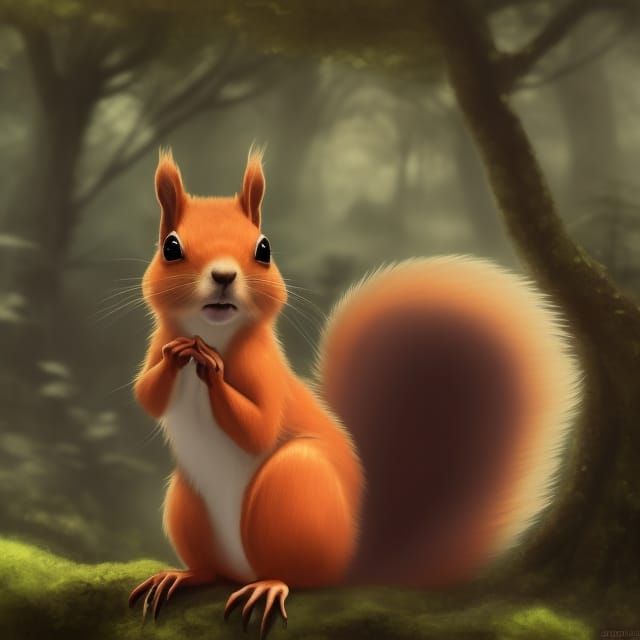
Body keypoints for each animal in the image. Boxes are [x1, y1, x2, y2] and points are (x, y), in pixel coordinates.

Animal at [129, 148, 582, 636]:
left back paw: (270, 584)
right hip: (186, 503)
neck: (209, 333)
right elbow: (146, 395)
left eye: (264, 249)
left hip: (295, 482)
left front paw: (212, 368)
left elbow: (259, 426)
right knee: (212, 569)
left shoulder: (265, 372)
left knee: (299, 574)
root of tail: (351, 565)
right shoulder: (154, 349)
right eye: (170, 247)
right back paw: (183, 575)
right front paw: (177, 359)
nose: (224, 276)